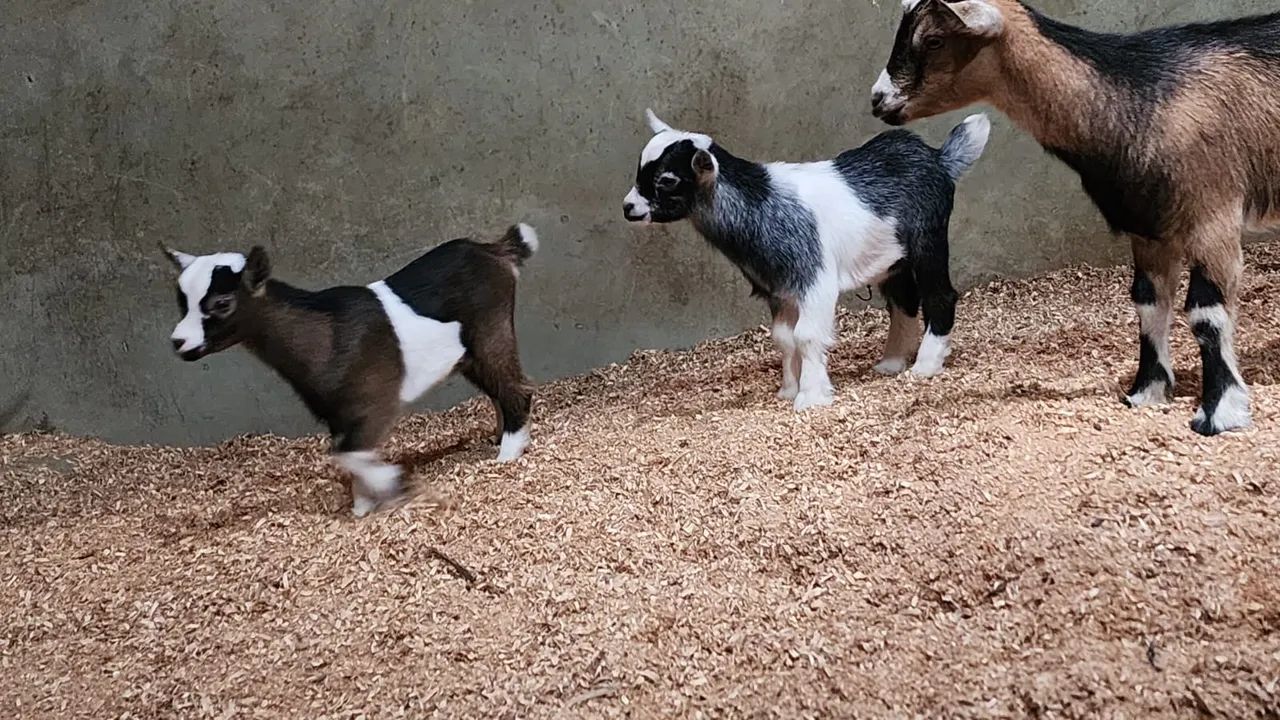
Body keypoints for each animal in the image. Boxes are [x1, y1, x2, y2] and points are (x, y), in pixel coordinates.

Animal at [164, 224, 539, 516]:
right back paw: (498, 439)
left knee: (516, 388)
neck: (326, 335)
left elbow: (348, 455)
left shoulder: (375, 403)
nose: (179, 342)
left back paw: (507, 455)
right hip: (470, 355)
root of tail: (495, 250)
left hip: (491, 332)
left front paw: (397, 485)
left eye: (222, 304)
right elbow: (349, 458)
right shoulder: (338, 415)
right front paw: (363, 507)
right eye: (182, 302)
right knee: (499, 390)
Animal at [623, 108, 989, 410]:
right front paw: (788, 389)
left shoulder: (814, 279)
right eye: (640, 169)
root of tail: (939, 159)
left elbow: (807, 335)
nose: (629, 207)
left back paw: (925, 366)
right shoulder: (778, 288)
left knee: (939, 294)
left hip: (929, 237)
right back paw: (892, 362)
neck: (762, 203)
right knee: (903, 302)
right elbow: (784, 339)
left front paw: (811, 397)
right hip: (892, 260)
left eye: (667, 180)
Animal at [871, 0, 1280, 436]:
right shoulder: (1148, 229)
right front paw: (1145, 393)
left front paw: (1220, 413)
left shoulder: (1212, 216)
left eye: (933, 39)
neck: (1139, 97)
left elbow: (1207, 313)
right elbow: (1149, 303)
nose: (878, 99)